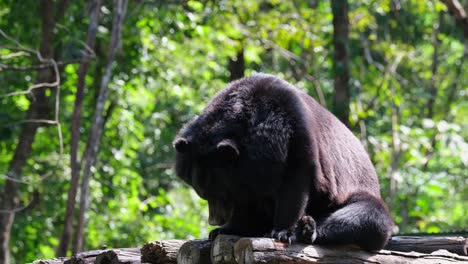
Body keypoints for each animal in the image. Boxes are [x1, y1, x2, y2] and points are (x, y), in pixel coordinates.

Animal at [174, 73, 394, 250]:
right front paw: (224, 230)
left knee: (367, 218)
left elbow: (295, 184)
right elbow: (246, 204)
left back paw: (307, 229)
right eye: (203, 194)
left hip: (356, 192)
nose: (214, 220)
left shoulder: (299, 137)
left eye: (220, 194)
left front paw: (282, 232)